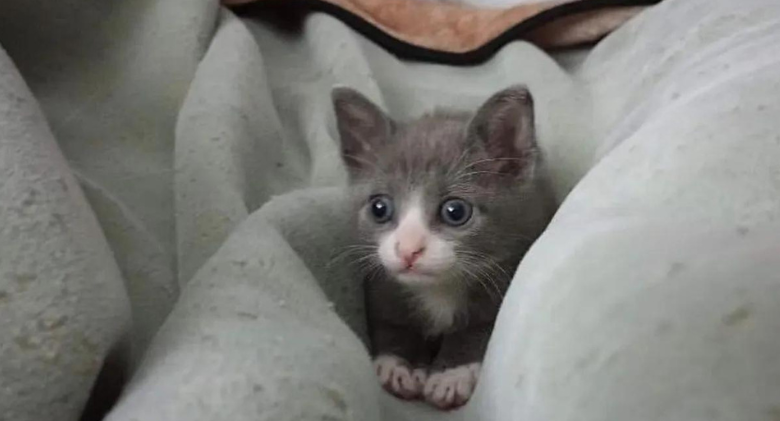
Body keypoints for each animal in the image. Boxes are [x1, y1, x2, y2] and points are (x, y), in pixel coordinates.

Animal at [332, 83, 552, 408]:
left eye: (455, 211)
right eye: (379, 208)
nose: (408, 250)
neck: (439, 289)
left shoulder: (509, 263)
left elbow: (482, 327)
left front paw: (451, 374)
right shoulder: (380, 284)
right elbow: (389, 321)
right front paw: (400, 364)